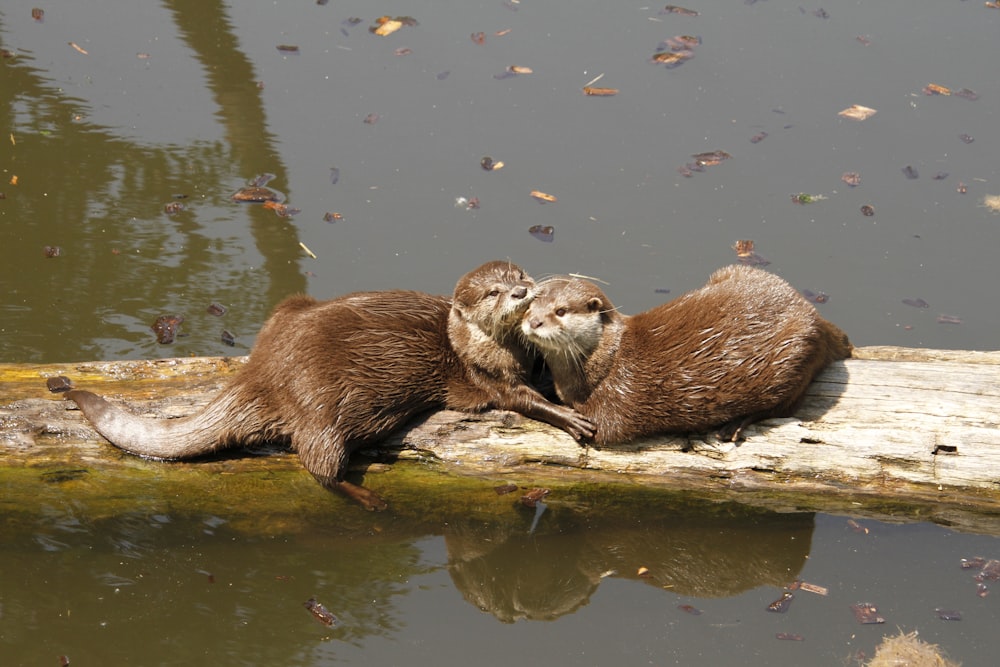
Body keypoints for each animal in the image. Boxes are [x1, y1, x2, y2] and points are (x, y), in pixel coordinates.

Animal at [66, 260, 592, 512]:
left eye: (521, 276)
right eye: (493, 293)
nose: (522, 291)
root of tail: (264, 370)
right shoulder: (483, 374)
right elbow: (521, 399)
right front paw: (570, 418)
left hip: (289, 309)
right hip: (324, 405)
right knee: (318, 464)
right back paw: (370, 500)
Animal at [520, 264, 856, 446]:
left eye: (560, 311)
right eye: (530, 304)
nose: (533, 321)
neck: (605, 364)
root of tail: (813, 315)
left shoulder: (612, 407)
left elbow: (598, 430)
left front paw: (571, 420)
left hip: (796, 352)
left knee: (784, 405)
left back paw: (735, 425)